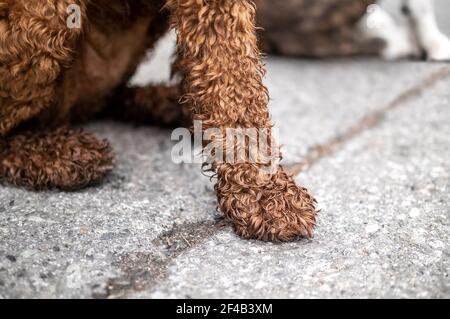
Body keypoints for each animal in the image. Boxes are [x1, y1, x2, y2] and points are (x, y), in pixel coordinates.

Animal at [0, 0, 318, 242]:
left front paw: (266, 190)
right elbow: (234, 79)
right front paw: (265, 194)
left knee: (106, 100)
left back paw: (174, 107)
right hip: (47, 12)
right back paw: (53, 154)